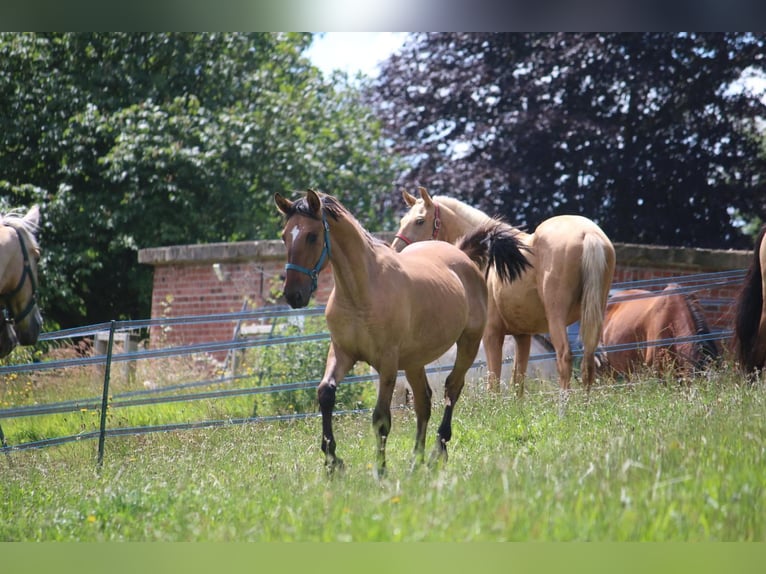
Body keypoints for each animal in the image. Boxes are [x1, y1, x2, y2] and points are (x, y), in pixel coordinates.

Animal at [276, 191, 536, 474]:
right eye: (285, 235)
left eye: (312, 236)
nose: (293, 294)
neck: (362, 292)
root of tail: (460, 253)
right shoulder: (342, 352)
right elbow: (325, 394)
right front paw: (333, 462)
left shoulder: (387, 363)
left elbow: (381, 418)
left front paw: (380, 471)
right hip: (414, 361)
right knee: (424, 402)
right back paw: (416, 462)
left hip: (468, 342)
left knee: (451, 388)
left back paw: (437, 453)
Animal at [392, 187, 616, 398]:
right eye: (402, 220)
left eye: (420, 221)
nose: (396, 253)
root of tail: (589, 235)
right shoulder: (522, 336)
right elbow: (518, 382)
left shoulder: (491, 334)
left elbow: (494, 382)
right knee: (588, 363)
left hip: (557, 319)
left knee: (565, 358)